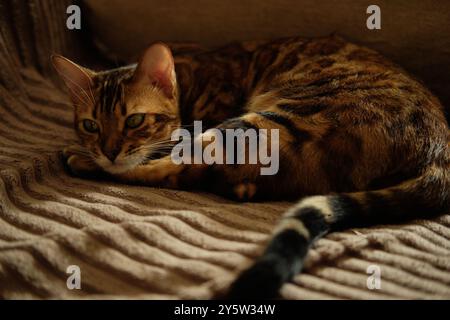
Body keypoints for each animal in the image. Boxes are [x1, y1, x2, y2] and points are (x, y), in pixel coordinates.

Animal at [51, 35, 448, 298]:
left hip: (261, 120)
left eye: (134, 120)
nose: (108, 151)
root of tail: (438, 155)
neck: (189, 77)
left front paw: (92, 157)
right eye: (90, 125)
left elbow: (159, 157)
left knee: (180, 170)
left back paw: (85, 162)